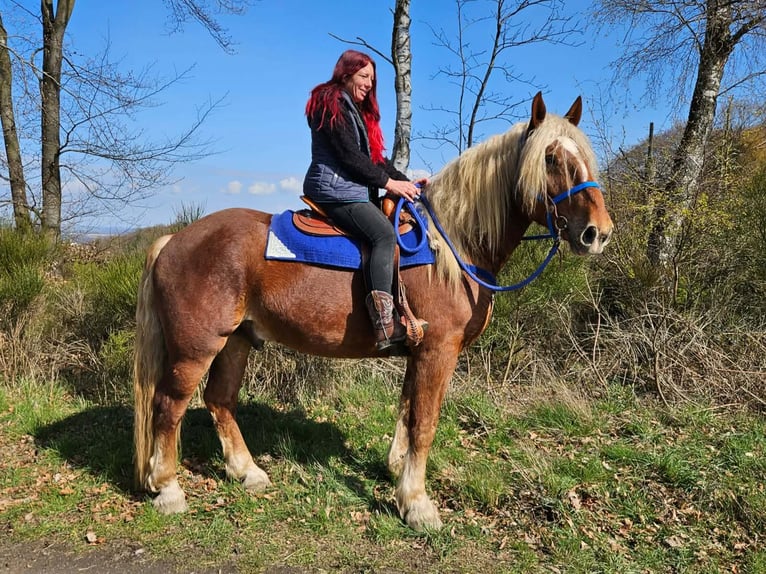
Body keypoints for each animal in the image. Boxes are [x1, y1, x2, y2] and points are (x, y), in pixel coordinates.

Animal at [133, 92, 613, 531]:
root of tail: (174, 240)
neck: (452, 247)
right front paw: (417, 504)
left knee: (219, 400)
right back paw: (169, 489)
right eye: (551, 158)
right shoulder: (438, 350)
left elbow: (407, 410)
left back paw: (247, 472)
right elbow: (425, 422)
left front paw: (398, 473)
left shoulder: (419, 351)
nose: (598, 233)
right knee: (168, 407)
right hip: (196, 347)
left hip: (236, 341)